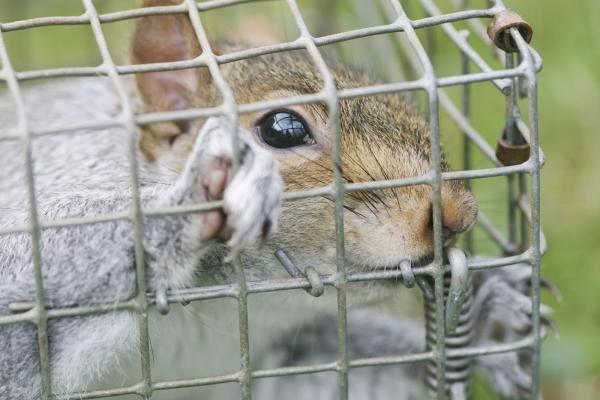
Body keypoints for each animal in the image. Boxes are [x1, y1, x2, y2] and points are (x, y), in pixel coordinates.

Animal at [0, 1, 548, 398]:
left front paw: (486, 321)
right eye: (282, 129)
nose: (457, 214)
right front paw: (206, 189)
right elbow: (23, 266)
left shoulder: (275, 359)